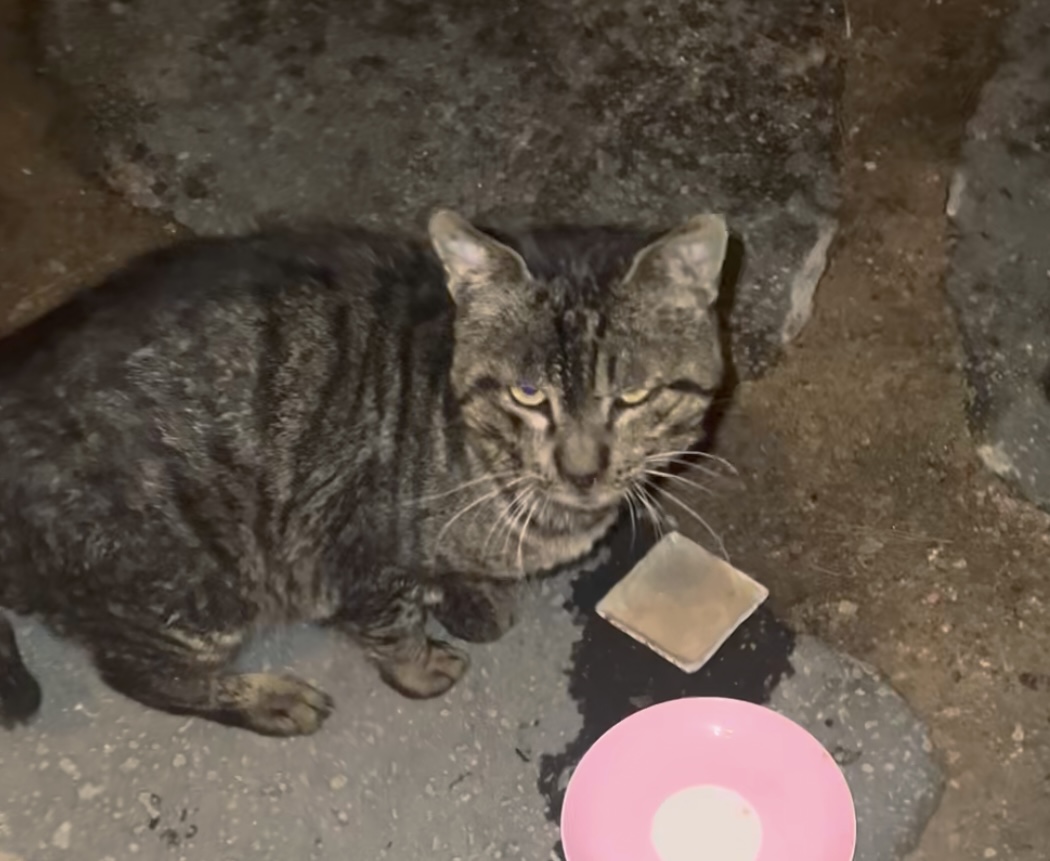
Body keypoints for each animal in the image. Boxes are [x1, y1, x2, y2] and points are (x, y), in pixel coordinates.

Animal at [0, 209, 727, 736]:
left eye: (634, 395)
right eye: (527, 393)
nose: (582, 470)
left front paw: (472, 596)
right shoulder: (358, 554)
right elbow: (392, 627)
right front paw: (421, 664)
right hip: (191, 584)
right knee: (140, 672)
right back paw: (264, 700)